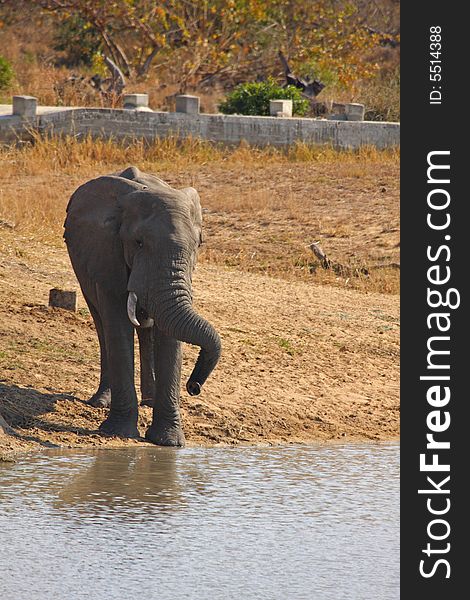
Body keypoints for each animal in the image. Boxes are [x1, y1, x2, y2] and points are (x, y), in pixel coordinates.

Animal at [63, 168, 222, 446]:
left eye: (198, 245)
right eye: (138, 242)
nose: (194, 387)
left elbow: (170, 334)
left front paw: (169, 442)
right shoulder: (107, 254)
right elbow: (117, 326)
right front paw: (118, 432)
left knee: (146, 329)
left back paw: (149, 401)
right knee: (102, 325)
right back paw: (101, 402)